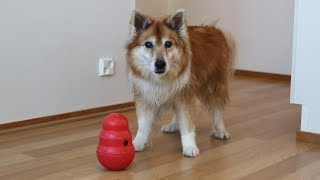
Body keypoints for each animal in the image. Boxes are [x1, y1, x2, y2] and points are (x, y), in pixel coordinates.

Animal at [126, 9, 236, 157]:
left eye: (168, 44)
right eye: (148, 44)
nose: (160, 64)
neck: (162, 79)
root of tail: (213, 28)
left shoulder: (186, 98)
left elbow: (187, 125)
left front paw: (189, 146)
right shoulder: (146, 97)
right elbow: (143, 125)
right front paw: (137, 143)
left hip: (216, 85)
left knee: (217, 109)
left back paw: (220, 130)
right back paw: (173, 125)